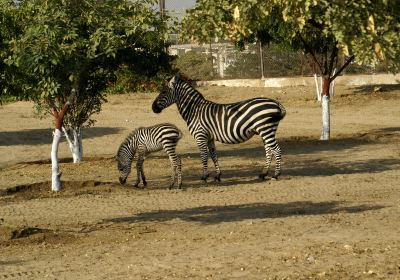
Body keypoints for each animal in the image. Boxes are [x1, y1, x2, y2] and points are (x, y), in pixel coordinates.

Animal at [152, 75, 286, 183]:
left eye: (163, 92)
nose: (153, 108)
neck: (194, 111)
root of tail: (275, 102)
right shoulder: (209, 137)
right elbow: (213, 155)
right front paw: (217, 175)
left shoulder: (200, 136)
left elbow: (204, 156)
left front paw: (204, 177)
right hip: (266, 131)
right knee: (269, 151)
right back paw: (263, 173)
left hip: (266, 130)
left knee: (276, 150)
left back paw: (276, 175)